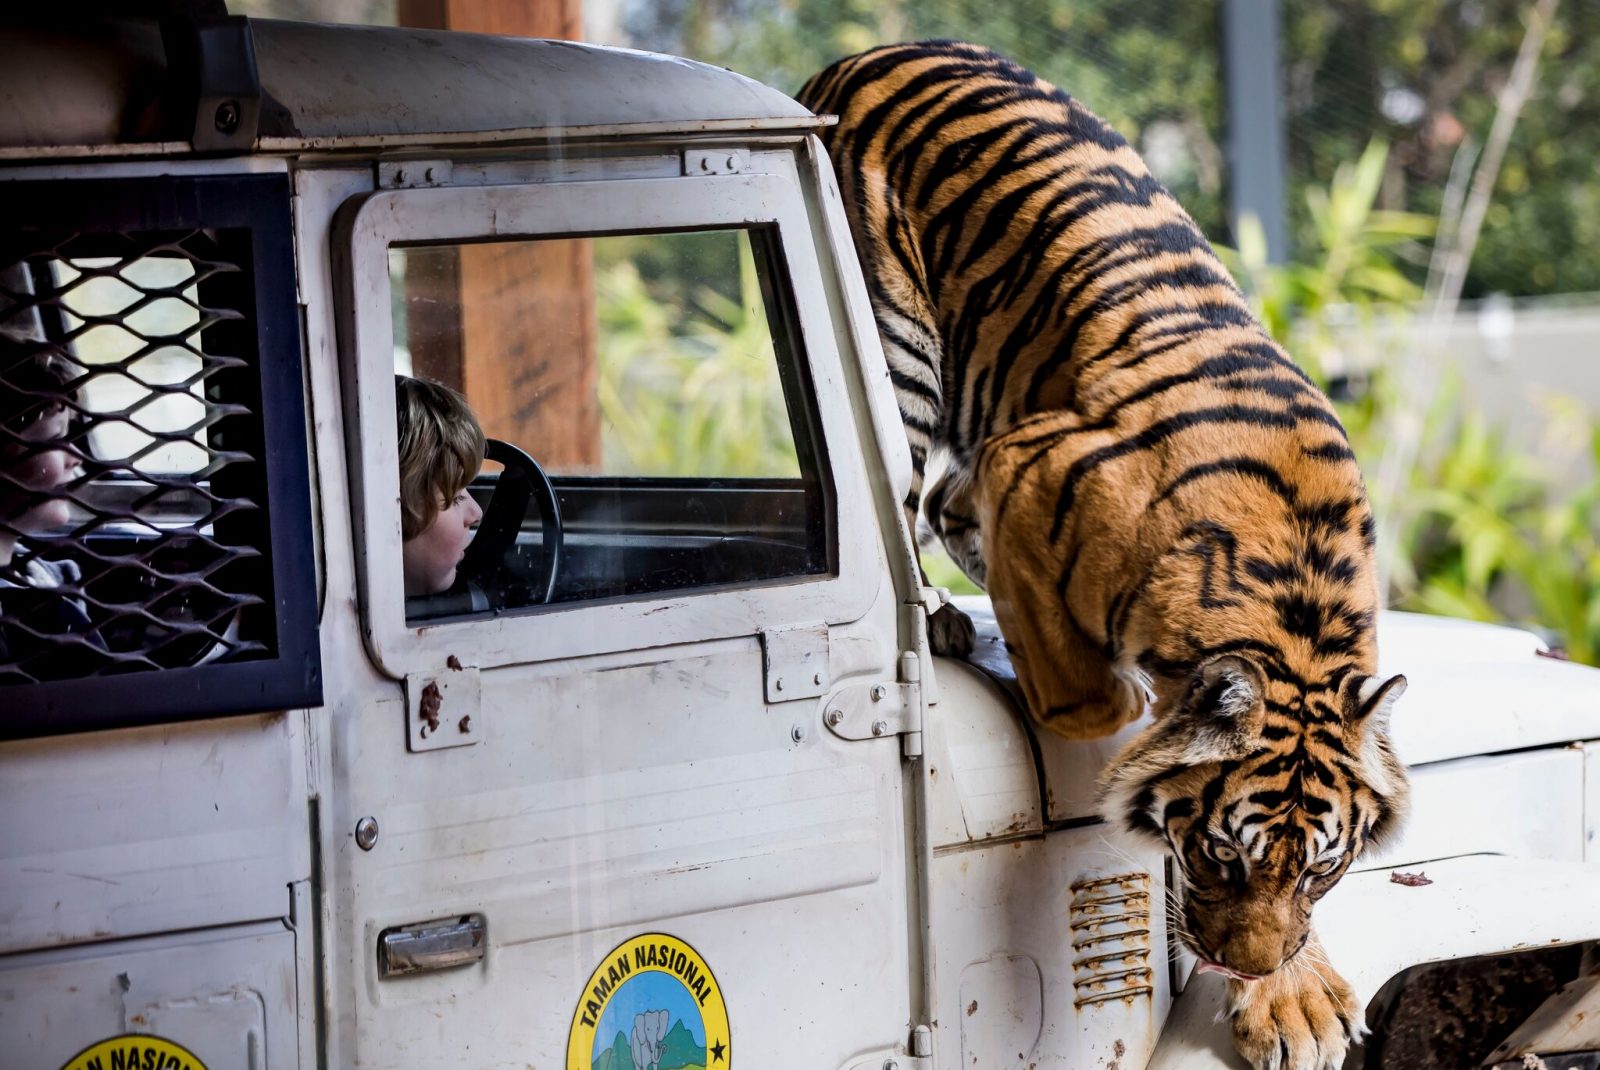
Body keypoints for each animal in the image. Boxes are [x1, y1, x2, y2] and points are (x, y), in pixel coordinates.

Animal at [800, 41, 1414, 1068]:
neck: (1291, 608)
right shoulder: (1028, 459)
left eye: (1317, 872)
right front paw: (1112, 703)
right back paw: (942, 621)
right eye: (1222, 855)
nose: (1243, 966)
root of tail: (865, 52)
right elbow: (1095, 706)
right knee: (907, 495)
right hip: (900, 351)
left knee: (942, 503)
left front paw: (1295, 999)